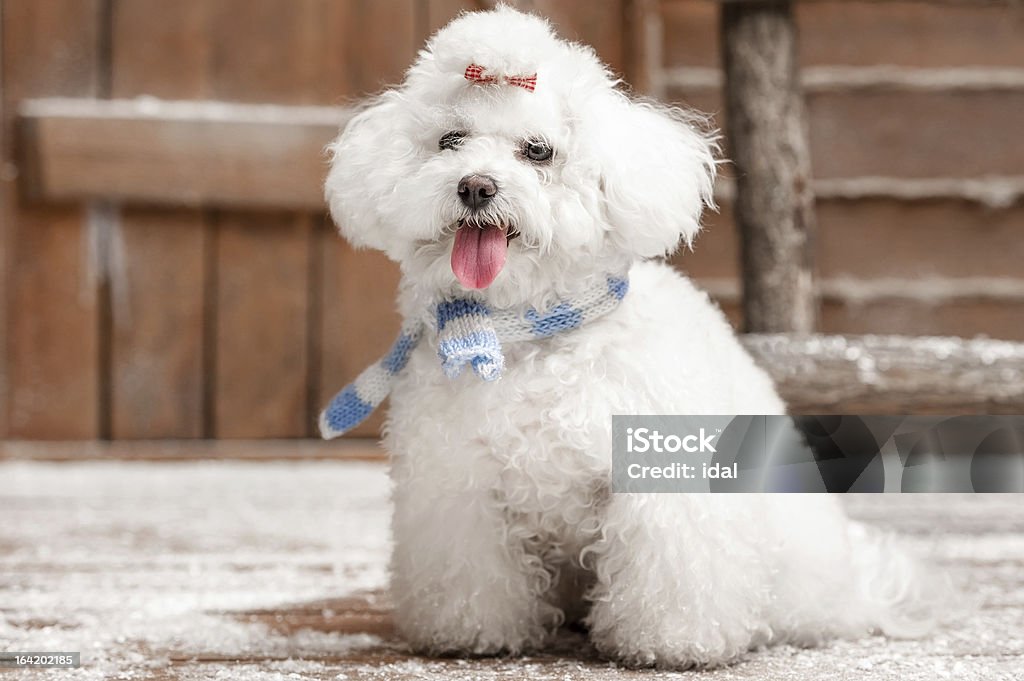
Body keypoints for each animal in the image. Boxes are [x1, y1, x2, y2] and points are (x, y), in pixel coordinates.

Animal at [321, 2, 937, 667]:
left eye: (538, 151)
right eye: (449, 141)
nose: (475, 185)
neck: (530, 331)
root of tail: (857, 587)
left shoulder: (662, 484)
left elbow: (670, 571)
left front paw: (672, 643)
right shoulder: (458, 487)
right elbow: (472, 574)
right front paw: (472, 632)